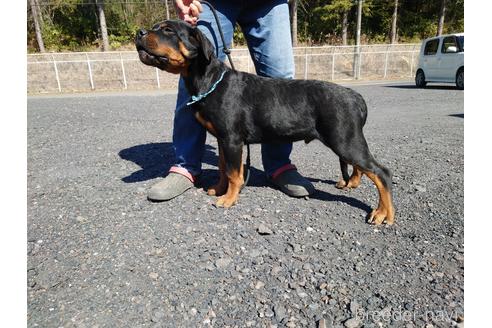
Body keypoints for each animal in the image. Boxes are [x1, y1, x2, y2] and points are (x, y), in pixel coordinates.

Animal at [135, 19, 396, 226]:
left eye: (168, 30)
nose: (139, 32)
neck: (209, 81)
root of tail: (356, 96)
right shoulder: (222, 139)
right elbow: (222, 168)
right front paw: (219, 189)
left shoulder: (232, 139)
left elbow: (233, 173)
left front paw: (228, 199)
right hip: (346, 140)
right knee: (362, 167)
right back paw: (353, 185)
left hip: (344, 139)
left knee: (382, 172)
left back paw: (383, 214)